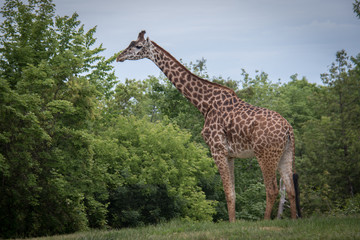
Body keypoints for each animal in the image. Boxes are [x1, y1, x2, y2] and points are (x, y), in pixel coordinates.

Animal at [116, 31, 300, 222]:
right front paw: (233, 223)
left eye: (138, 46)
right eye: (130, 43)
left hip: (265, 154)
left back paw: (265, 222)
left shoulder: (217, 149)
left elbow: (228, 193)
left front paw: (232, 224)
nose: (119, 57)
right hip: (285, 153)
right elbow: (233, 193)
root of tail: (288, 129)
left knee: (272, 190)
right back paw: (294, 221)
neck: (204, 105)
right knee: (291, 190)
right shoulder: (230, 154)